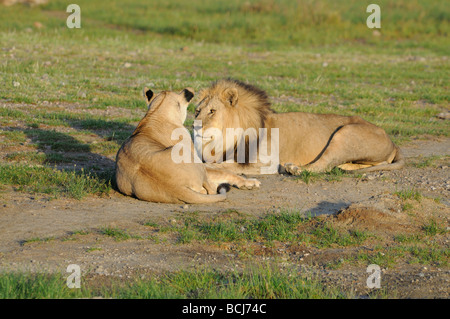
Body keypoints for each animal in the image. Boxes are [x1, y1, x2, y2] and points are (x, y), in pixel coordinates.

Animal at [193, 79, 404, 176]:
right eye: (197, 111)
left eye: (212, 111)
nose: (194, 127)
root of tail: (393, 143)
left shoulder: (266, 163)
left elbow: (226, 165)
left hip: (345, 133)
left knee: (321, 166)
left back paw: (293, 169)